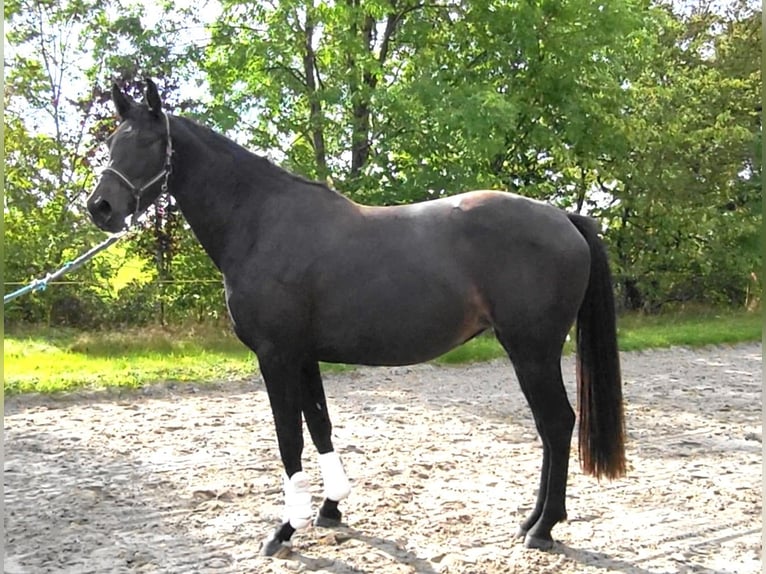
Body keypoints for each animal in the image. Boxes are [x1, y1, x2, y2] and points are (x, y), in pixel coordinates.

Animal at [87, 79, 625, 557]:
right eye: (112, 141)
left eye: (150, 142)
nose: (101, 207)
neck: (261, 223)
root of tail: (563, 217)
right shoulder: (303, 356)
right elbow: (320, 426)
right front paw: (331, 508)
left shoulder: (276, 357)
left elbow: (289, 440)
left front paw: (286, 529)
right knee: (550, 429)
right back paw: (531, 521)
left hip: (532, 349)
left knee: (557, 423)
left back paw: (544, 529)